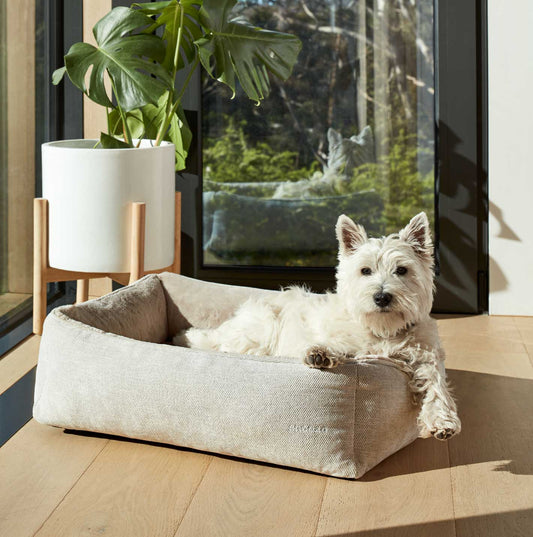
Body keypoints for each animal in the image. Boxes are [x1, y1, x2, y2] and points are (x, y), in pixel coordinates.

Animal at [175, 213, 458, 440]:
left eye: (401, 270)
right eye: (365, 270)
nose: (381, 297)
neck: (382, 329)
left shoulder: (427, 356)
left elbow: (436, 385)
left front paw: (442, 421)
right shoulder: (340, 337)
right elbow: (337, 345)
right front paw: (320, 354)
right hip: (262, 326)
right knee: (228, 347)